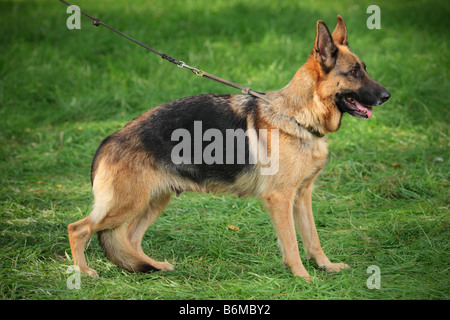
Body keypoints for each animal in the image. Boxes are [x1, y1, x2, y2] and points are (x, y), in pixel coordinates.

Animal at [67, 16, 390, 282]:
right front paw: (303, 278)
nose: (387, 95)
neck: (296, 115)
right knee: (78, 229)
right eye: (354, 72)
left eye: (364, 70)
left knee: (130, 239)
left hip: (153, 200)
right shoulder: (281, 200)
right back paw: (83, 272)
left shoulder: (302, 197)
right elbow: (292, 244)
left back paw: (154, 266)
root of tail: (109, 140)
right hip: (126, 204)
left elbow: (313, 238)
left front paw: (325, 267)